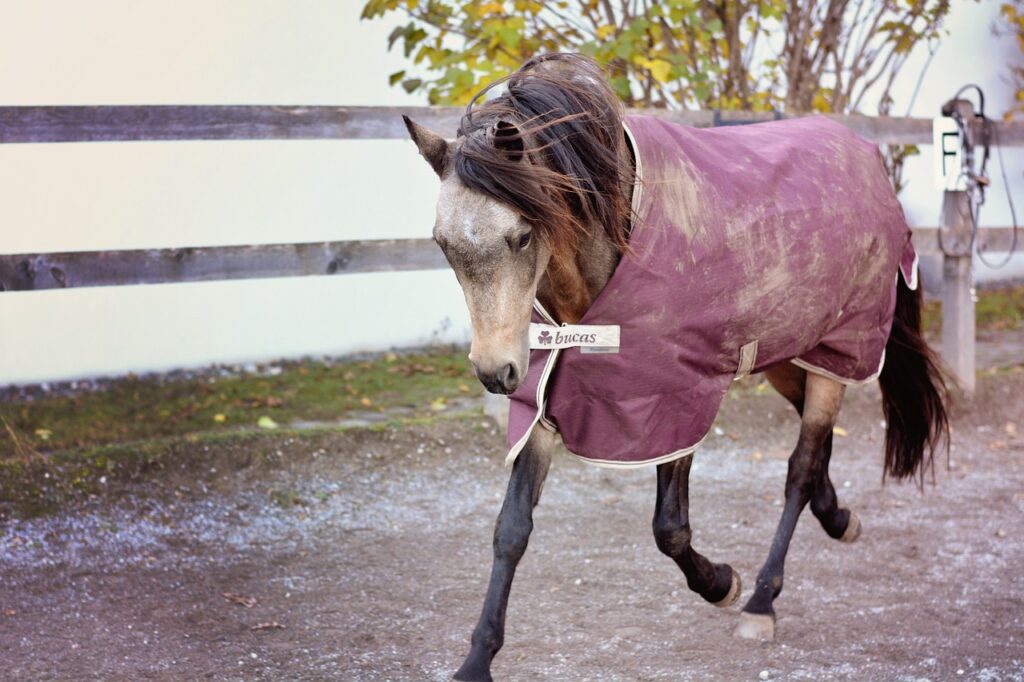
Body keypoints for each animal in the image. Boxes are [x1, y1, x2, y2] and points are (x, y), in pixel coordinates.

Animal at [403, 50, 946, 675]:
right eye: (443, 244)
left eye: (520, 236)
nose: (495, 373)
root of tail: (868, 159)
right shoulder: (541, 399)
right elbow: (510, 530)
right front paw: (476, 660)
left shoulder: (676, 398)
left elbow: (669, 529)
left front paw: (723, 584)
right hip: (789, 356)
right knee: (818, 450)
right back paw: (838, 519)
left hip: (840, 349)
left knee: (801, 467)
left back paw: (762, 600)